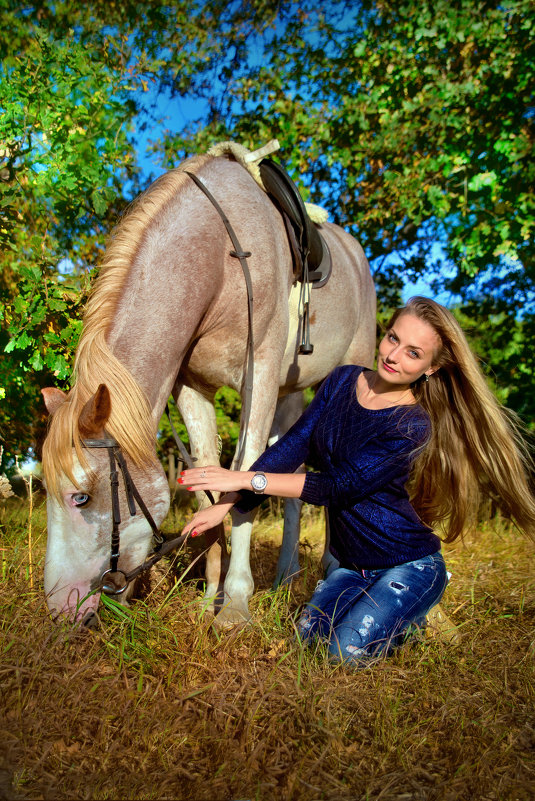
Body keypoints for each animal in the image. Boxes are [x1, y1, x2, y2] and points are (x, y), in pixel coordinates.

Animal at [42, 148, 376, 624]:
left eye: (81, 498)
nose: (60, 609)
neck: (220, 258)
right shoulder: (192, 388)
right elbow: (206, 483)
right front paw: (208, 597)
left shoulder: (259, 379)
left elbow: (248, 475)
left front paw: (234, 604)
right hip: (291, 396)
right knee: (294, 479)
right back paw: (286, 576)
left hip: (350, 371)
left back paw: (330, 569)